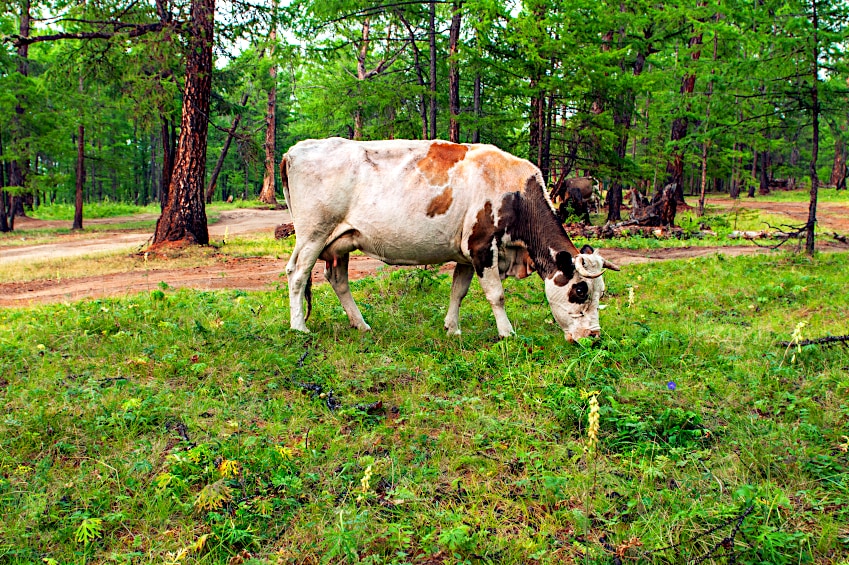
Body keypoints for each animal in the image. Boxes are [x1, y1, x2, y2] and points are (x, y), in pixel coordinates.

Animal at [282, 139, 620, 342]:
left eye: (600, 293)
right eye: (579, 290)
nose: (594, 335)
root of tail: (295, 150)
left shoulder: (467, 254)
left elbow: (458, 291)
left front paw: (452, 329)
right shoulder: (483, 247)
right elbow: (496, 295)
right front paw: (507, 333)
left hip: (340, 240)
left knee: (337, 279)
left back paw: (360, 324)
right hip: (313, 233)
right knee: (297, 273)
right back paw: (299, 327)